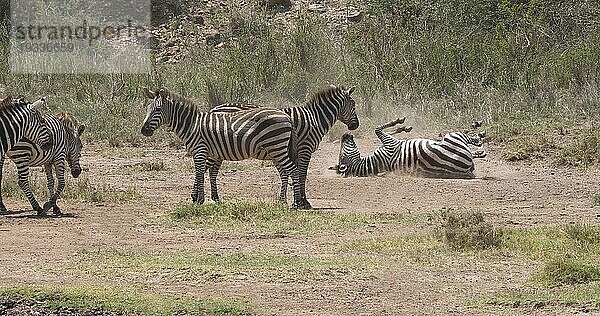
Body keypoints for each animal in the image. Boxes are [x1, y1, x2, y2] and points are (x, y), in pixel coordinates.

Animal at [141, 87, 304, 209]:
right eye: (148, 108)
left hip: (277, 146)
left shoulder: (200, 151)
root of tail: (287, 116)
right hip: (276, 149)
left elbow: (199, 173)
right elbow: (203, 173)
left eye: (158, 109)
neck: (191, 125)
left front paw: (199, 200)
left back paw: (297, 203)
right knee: (286, 172)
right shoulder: (205, 152)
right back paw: (285, 201)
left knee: (293, 170)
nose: (144, 130)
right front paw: (200, 198)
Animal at [209, 85, 358, 209]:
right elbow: (301, 174)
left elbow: (288, 173)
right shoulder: (305, 149)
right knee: (212, 170)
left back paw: (215, 198)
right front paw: (303, 201)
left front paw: (288, 200)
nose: (355, 126)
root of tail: (214, 109)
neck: (314, 118)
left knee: (213, 170)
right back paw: (213, 198)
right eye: (353, 105)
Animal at [330, 117, 486, 179]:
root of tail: (466, 170)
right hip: (452, 137)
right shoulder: (390, 144)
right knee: (468, 137)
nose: (345, 134)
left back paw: (479, 150)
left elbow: (383, 130)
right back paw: (478, 132)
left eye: (341, 153)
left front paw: (402, 128)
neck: (375, 163)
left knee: (472, 150)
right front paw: (399, 123)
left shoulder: (391, 143)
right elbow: (377, 129)